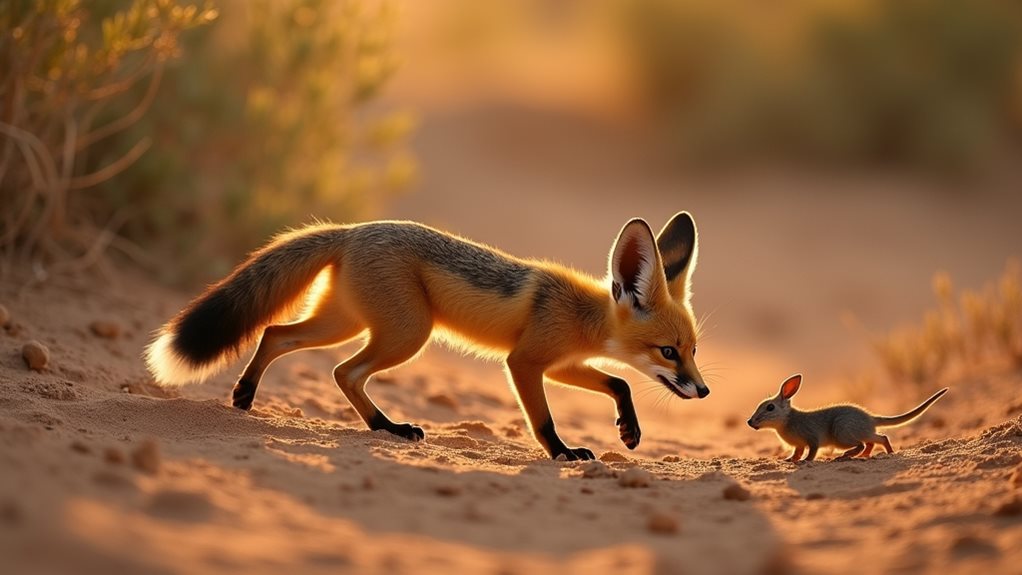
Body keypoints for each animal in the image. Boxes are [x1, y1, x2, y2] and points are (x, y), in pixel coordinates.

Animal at [145, 213, 709, 460]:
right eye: (668, 351)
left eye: (694, 350)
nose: (703, 390)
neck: (581, 314)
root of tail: (352, 229)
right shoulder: (525, 362)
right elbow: (545, 420)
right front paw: (563, 453)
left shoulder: (561, 363)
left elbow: (621, 383)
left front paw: (628, 431)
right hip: (407, 334)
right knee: (342, 370)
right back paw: (389, 427)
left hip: (346, 323)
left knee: (276, 333)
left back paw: (247, 395)